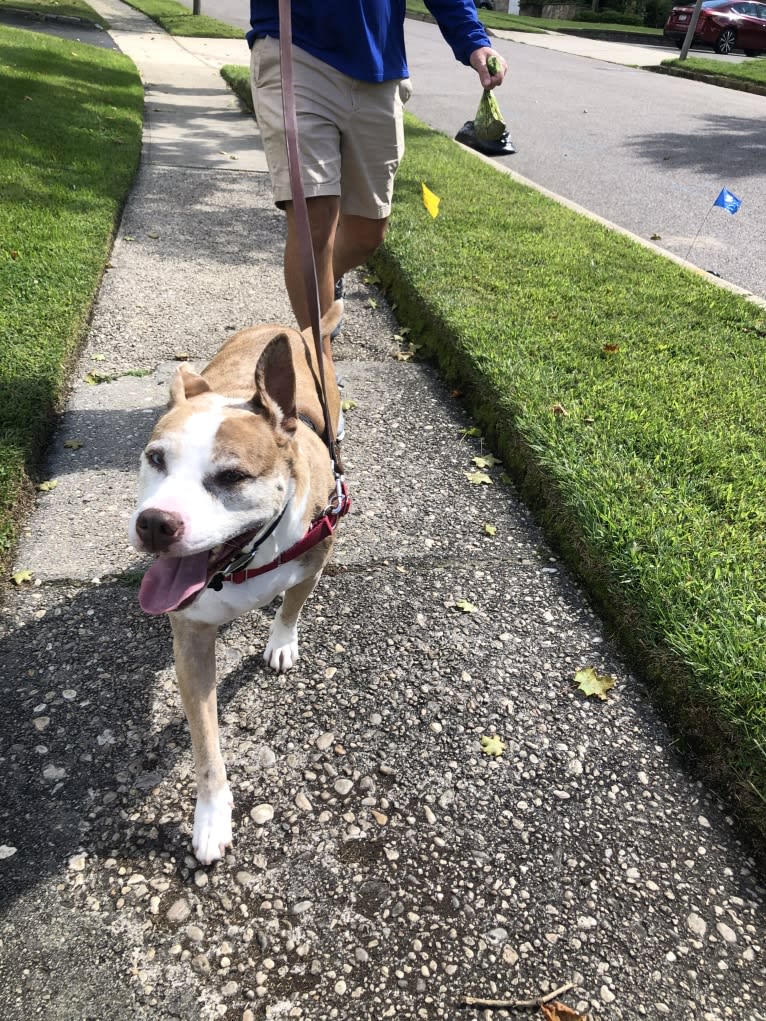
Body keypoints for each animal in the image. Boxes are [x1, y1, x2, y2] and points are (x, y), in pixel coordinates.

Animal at [130, 302, 347, 861]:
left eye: (231, 478)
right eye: (155, 459)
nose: (155, 523)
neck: (244, 560)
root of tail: (295, 327)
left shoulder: (317, 554)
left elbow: (292, 605)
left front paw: (281, 642)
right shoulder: (191, 639)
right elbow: (206, 744)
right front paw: (211, 817)